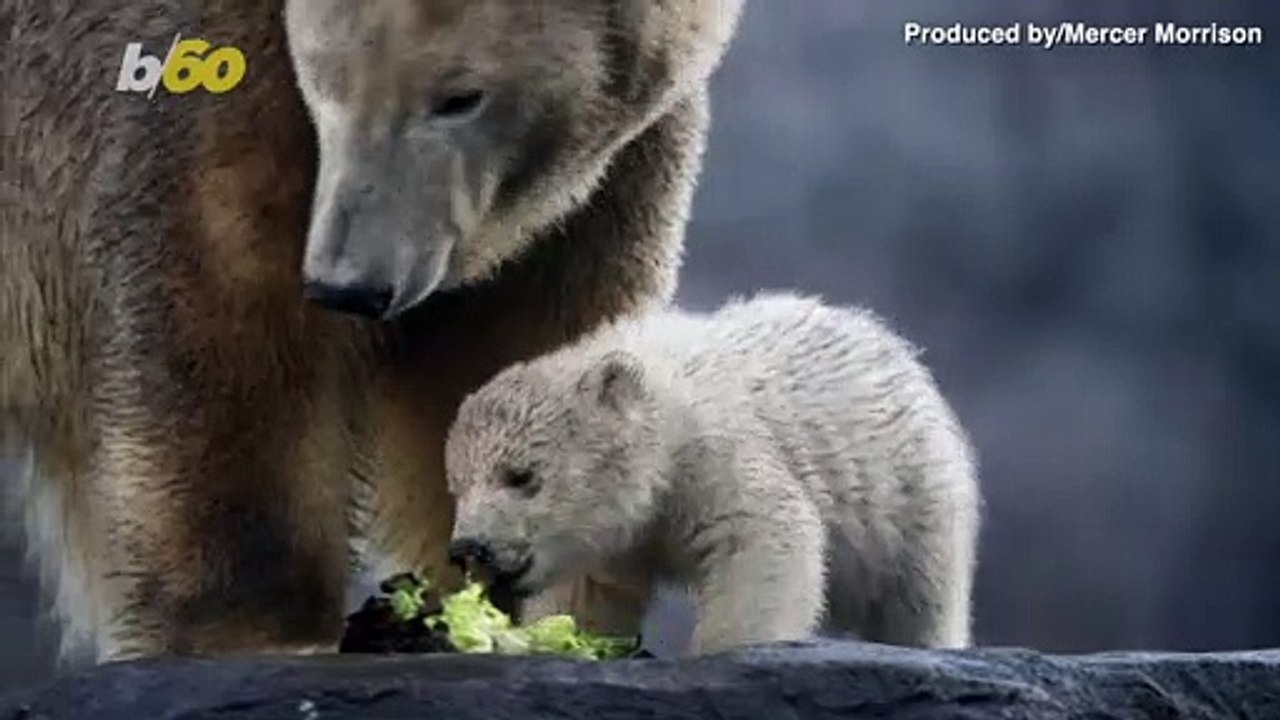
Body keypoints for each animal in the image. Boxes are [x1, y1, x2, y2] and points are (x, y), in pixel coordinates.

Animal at [0, 0, 743, 664]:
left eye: (460, 98)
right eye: (325, 81)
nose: (349, 284)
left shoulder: (599, 193)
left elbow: (528, 355)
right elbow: (228, 326)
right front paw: (259, 630)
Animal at [444, 292, 981, 655]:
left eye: (521, 476)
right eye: (457, 486)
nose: (470, 546)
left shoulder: (713, 456)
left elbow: (762, 537)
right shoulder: (615, 537)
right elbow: (588, 591)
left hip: (911, 492)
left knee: (920, 597)